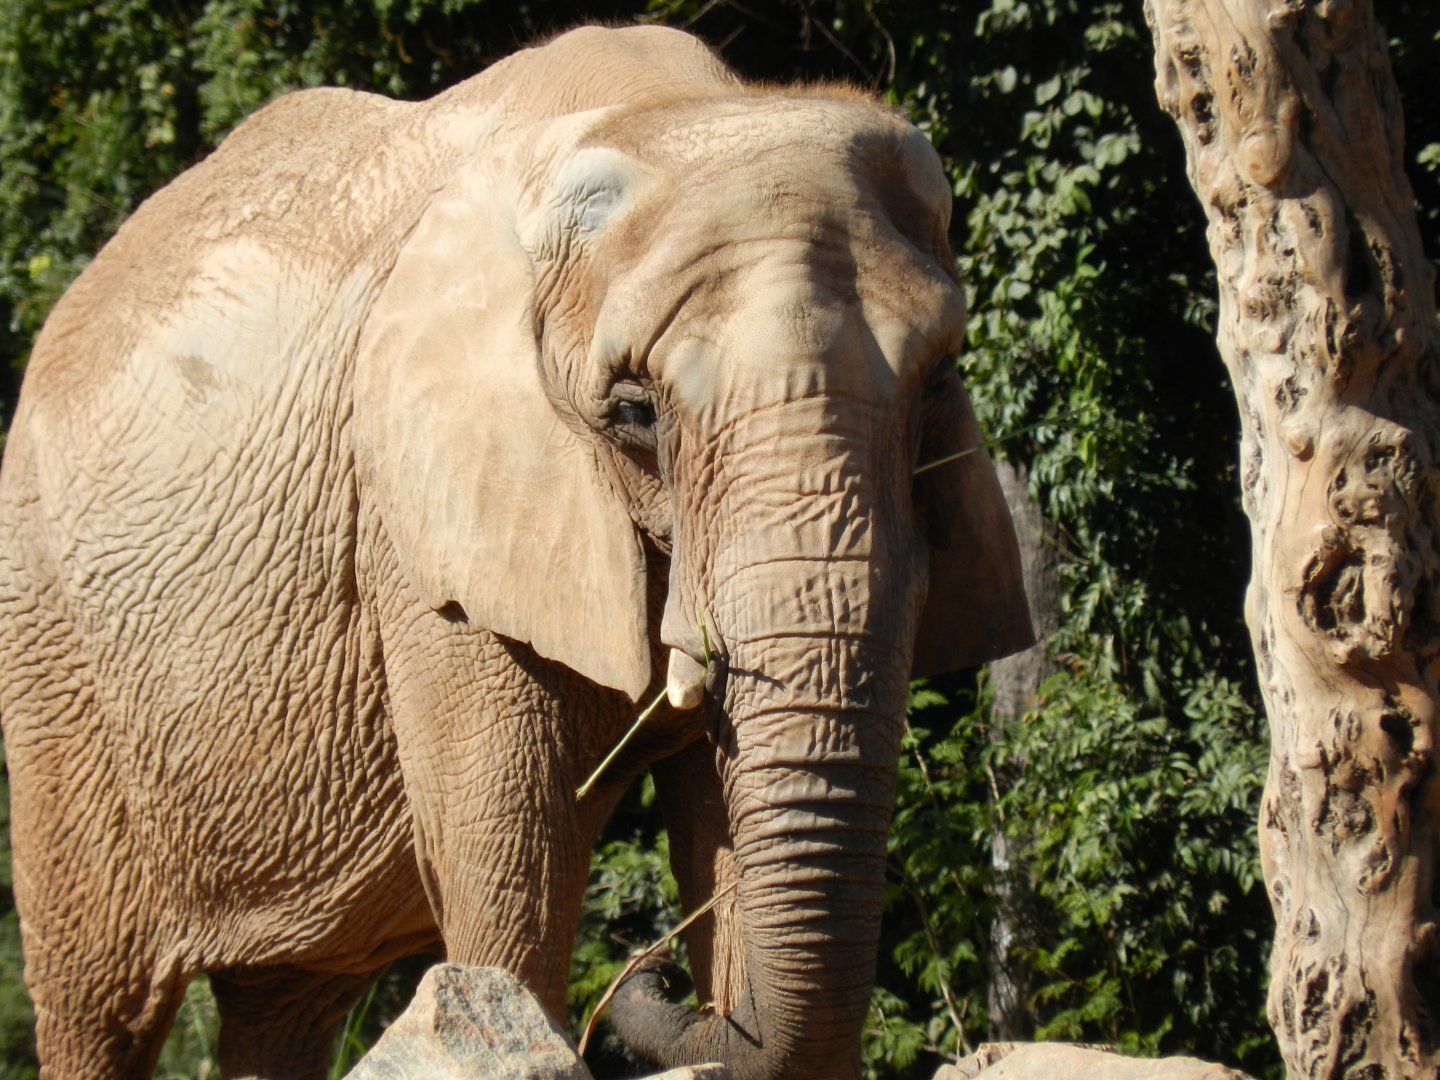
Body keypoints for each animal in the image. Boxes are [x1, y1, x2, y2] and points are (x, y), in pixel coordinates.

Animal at [0, 23, 1031, 1080]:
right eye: (634, 413)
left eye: (939, 382)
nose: (651, 976)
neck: (662, 110)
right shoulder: (422, 523)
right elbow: (510, 854)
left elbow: (722, 821)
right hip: (50, 648)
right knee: (101, 1004)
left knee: (282, 1000)